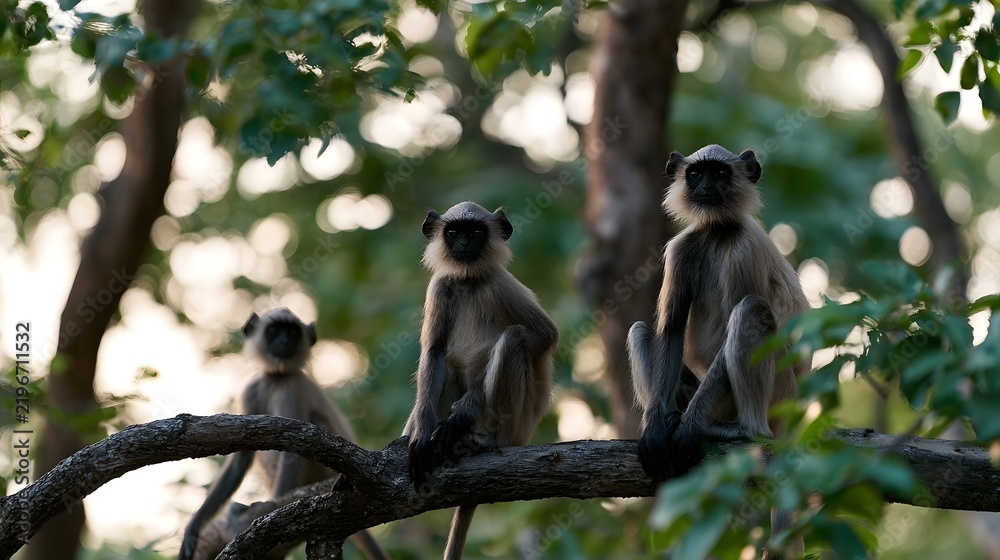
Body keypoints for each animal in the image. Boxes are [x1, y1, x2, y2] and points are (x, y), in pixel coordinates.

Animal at [180, 308, 388, 560]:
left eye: (292, 333)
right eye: (275, 330)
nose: (285, 342)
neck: (276, 378)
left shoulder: (291, 388)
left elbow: (294, 446)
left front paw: (270, 514)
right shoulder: (252, 391)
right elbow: (243, 455)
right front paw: (193, 528)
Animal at [402, 201, 559, 560]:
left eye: (475, 232)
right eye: (453, 232)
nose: (463, 244)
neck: (469, 281)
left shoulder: (499, 284)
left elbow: (544, 335)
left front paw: (459, 417)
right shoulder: (441, 287)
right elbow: (433, 352)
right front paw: (419, 438)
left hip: (515, 423)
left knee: (515, 336)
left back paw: (481, 437)